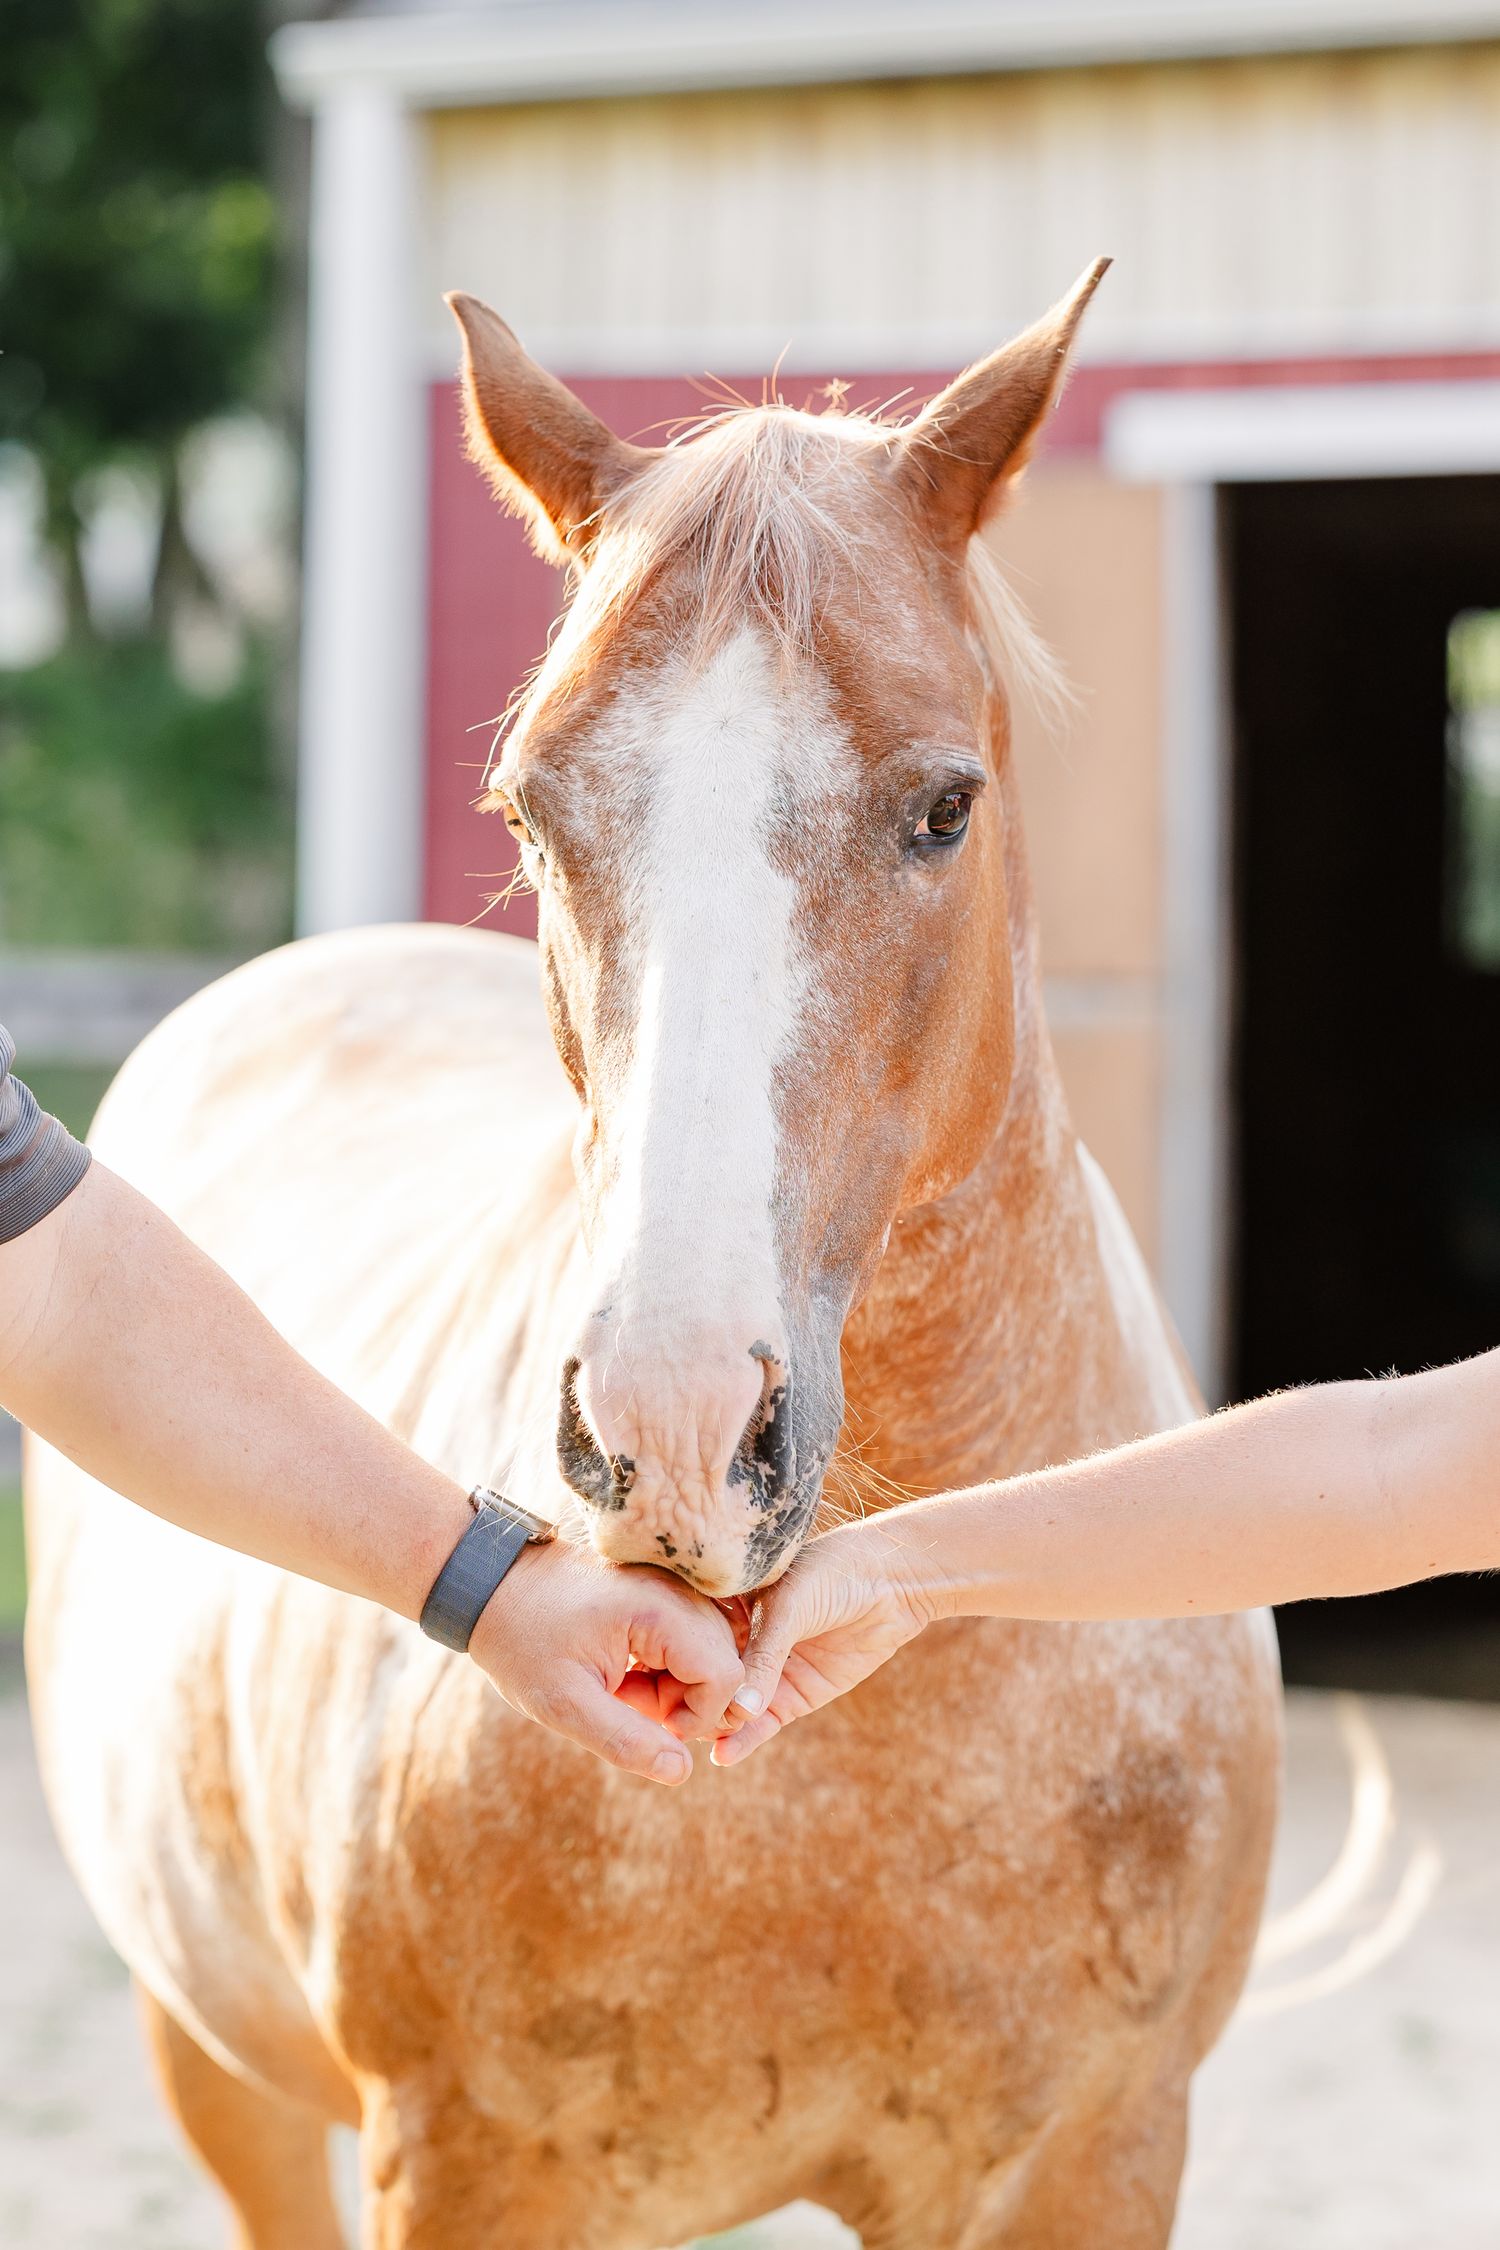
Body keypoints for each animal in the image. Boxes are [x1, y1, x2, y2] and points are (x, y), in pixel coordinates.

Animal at [25, 262, 1281, 2249]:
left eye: (945, 806)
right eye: (534, 809)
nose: (677, 1433)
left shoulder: (1091, 2158)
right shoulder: (470, 2167)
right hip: (218, 2066)